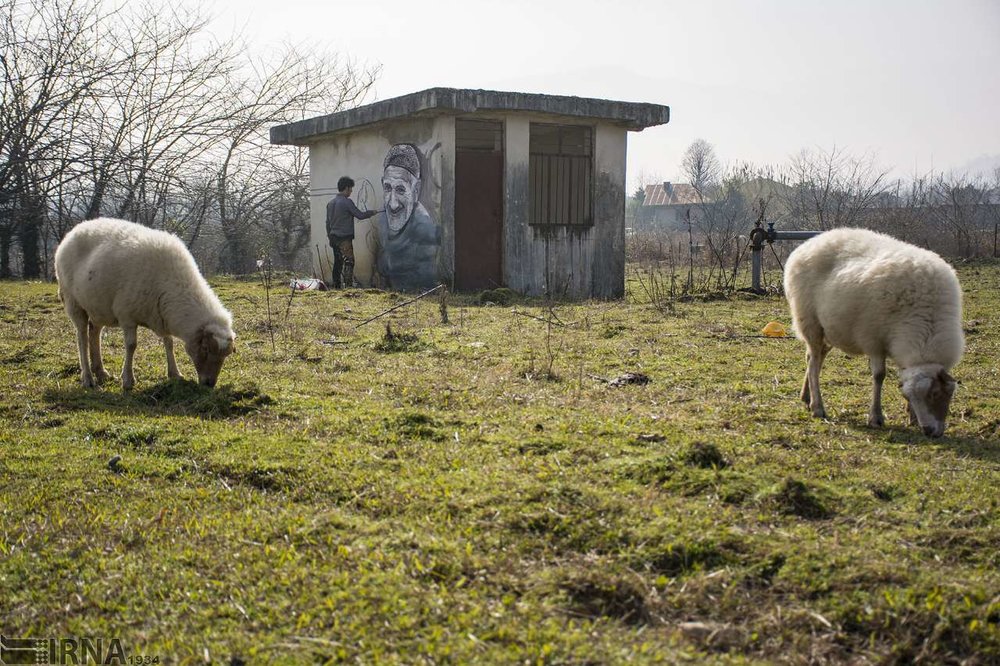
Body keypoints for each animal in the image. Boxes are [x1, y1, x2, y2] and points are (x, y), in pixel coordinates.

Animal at [56, 218, 234, 386]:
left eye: (226, 355)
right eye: (205, 348)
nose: (209, 384)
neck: (173, 285)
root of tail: (73, 231)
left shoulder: (162, 314)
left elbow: (169, 342)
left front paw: (175, 373)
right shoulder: (126, 315)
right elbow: (131, 345)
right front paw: (128, 379)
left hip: (97, 306)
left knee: (94, 332)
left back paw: (101, 372)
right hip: (73, 301)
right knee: (82, 338)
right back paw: (88, 378)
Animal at [784, 228, 964, 436]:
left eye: (937, 394)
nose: (929, 431)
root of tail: (807, 244)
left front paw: (911, 416)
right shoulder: (874, 340)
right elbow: (879, 376)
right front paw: (875, 417)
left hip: (829, 328)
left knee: (814, 357)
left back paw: (806, 397)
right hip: (810, 322)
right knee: (813, 362)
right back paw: (818, 407)